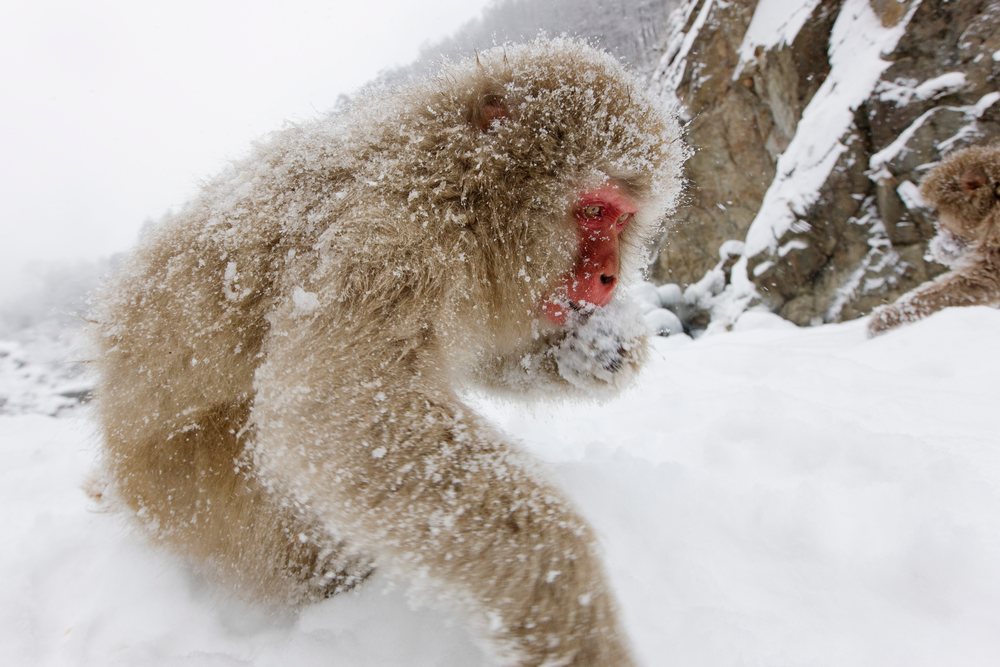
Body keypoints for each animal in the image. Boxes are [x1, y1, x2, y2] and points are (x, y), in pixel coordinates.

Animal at [92, 38, 684, 666]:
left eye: (622, 220)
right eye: (594, 211)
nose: (608, 276)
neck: (460, 189)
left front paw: (601, 351)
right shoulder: (390, 240)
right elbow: (336, 411)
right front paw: (566, 600)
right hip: (190, 492)